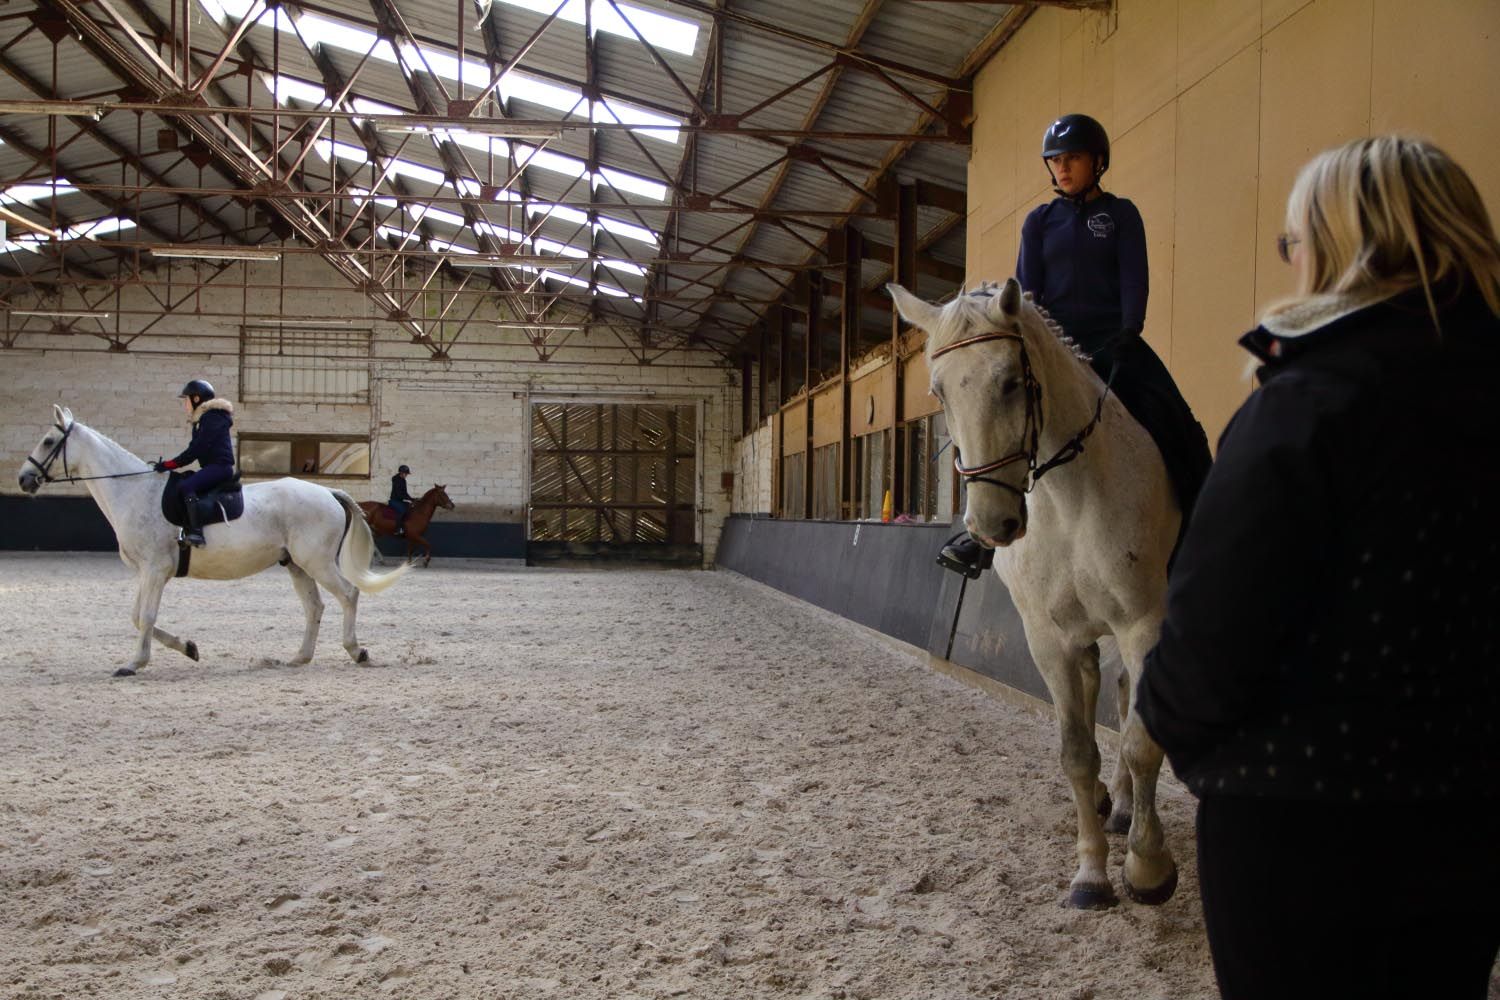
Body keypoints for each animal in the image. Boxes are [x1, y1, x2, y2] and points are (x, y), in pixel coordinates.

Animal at [16, 407, 411, 680]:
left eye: (49, 441)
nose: (24, 479)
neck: (134, 491)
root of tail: (328, 492)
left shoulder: (155, 570)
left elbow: (146, 616)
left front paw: (134, 663)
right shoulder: (146, 571)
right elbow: (137, 616)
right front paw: (189, 648)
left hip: (317, 562)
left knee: (348, 594)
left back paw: (357, 651)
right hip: (297, 565)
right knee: (314, 607)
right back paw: (300, 657)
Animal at [888, 277, 1182, 911]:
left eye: (1010, 381)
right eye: (938, 392)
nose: (991, 524)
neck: (1070, 498)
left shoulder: (1143, 623)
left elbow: (1141, 742)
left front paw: (1148, 868)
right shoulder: (1048, 637)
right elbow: (1076, 751)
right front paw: (1091, 874)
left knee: (1125, 700)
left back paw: (1126, 810)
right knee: (1102, 691)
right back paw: (1109, 803)